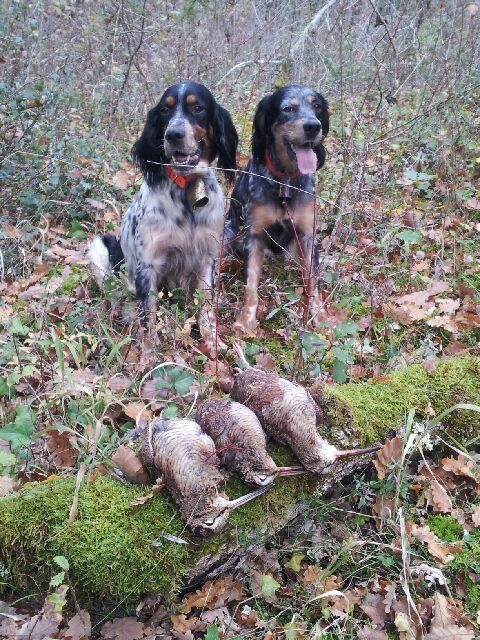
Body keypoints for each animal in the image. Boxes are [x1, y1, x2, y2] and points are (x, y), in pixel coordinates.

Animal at [88, 81, 238, 350]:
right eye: (164, 111)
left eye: (197, 108)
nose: (173, 134)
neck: (187, 190)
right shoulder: (148, 266)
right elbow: (148, 318)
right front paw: (149, 354)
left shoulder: (207, 259)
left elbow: (206, 307)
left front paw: (212, 344)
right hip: (102, 246)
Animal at [227, 85, 328, 336]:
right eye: (287, 108)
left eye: (317, 106)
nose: (313, 126)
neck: (285, 182)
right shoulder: (253, 237)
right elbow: (251, 285)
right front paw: (245, 320)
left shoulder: (307, 235)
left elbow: (313, 281)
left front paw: (321, 316)